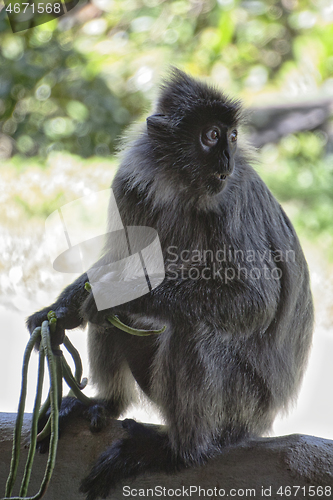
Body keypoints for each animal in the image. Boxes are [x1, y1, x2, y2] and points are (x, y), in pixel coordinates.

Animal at [26, 69, 314, 500]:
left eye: (231, 136)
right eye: (211, 136)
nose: (228, 159)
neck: (179, 187)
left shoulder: (231, 199)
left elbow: (255, 300)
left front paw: (113, 301)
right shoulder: (129, 185)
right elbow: (114, 264)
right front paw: (58, 311)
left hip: (247, 405)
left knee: (191, 330)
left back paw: (178, 452)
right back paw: (105, 401)